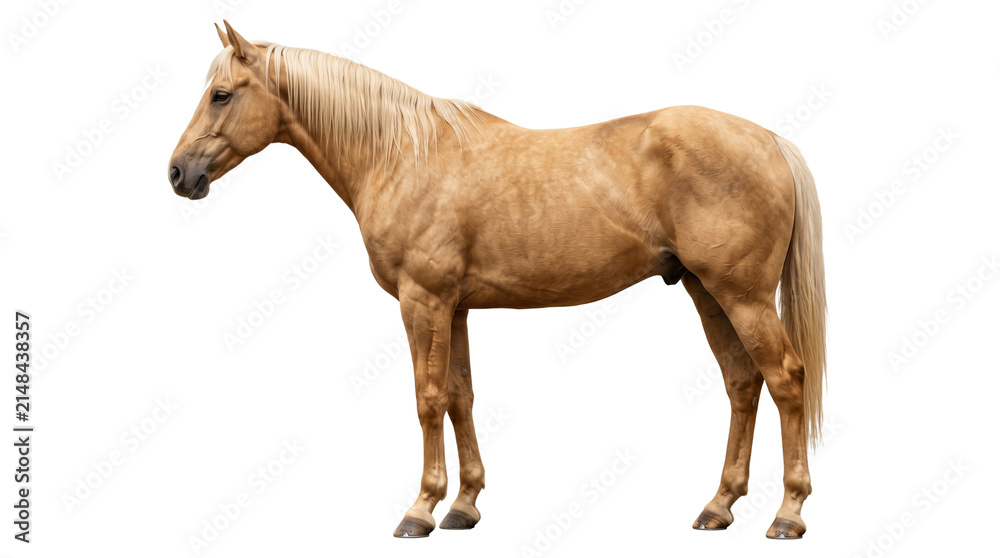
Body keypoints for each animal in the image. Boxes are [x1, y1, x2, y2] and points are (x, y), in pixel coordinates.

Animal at [169, 21, 827, 540]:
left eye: (221, 95)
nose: (178, 173)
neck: (400, 153)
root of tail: (771, 141)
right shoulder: (454, 307)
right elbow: (460, 396)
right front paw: (463, 506)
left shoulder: (423, 301)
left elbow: (427, 399)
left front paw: (421, 509)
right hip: (706, 292)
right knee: (743, 384)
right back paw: (719, 507)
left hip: (743, 297)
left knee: (786, 379)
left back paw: (788, 514)